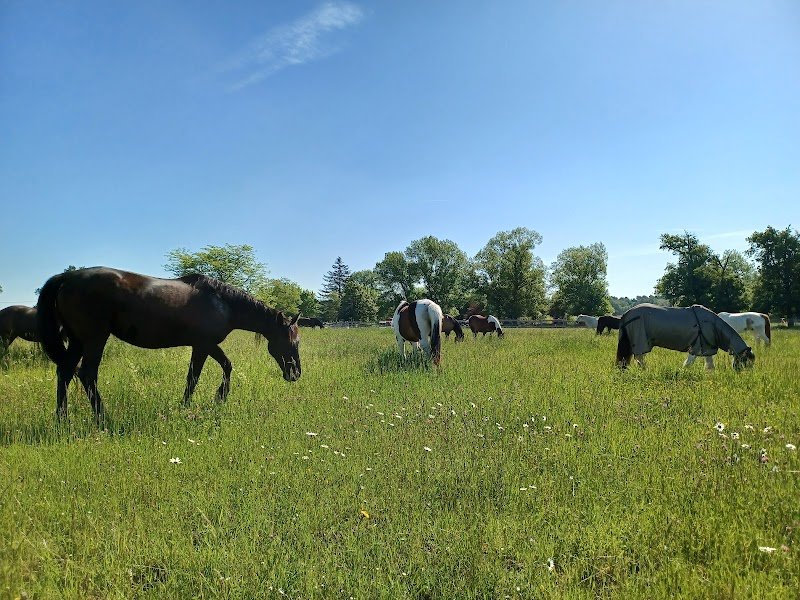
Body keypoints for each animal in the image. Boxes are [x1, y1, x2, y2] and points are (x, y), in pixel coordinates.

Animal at [37, 267, 301, 422]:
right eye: (293, 342)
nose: (296, 373)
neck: (223, 302)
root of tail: (66, 278)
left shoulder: (202, 346)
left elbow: (214, 370)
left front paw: (205, 401)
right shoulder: (204, 345)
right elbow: (202, 375)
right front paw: (213, 399)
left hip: (77, 341)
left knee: (65, 371)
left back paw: (62, 419)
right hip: (94, 339)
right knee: (87, 374)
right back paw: (104, 419)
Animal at [616, 303, 754, 371]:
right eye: (746, 362)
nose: (745, 376)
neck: (712, 324)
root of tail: (626, 314)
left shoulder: (707, 348)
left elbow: (710, 367)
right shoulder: (696, 348)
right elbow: (688, 364)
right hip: (641, 343)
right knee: (640, 359)